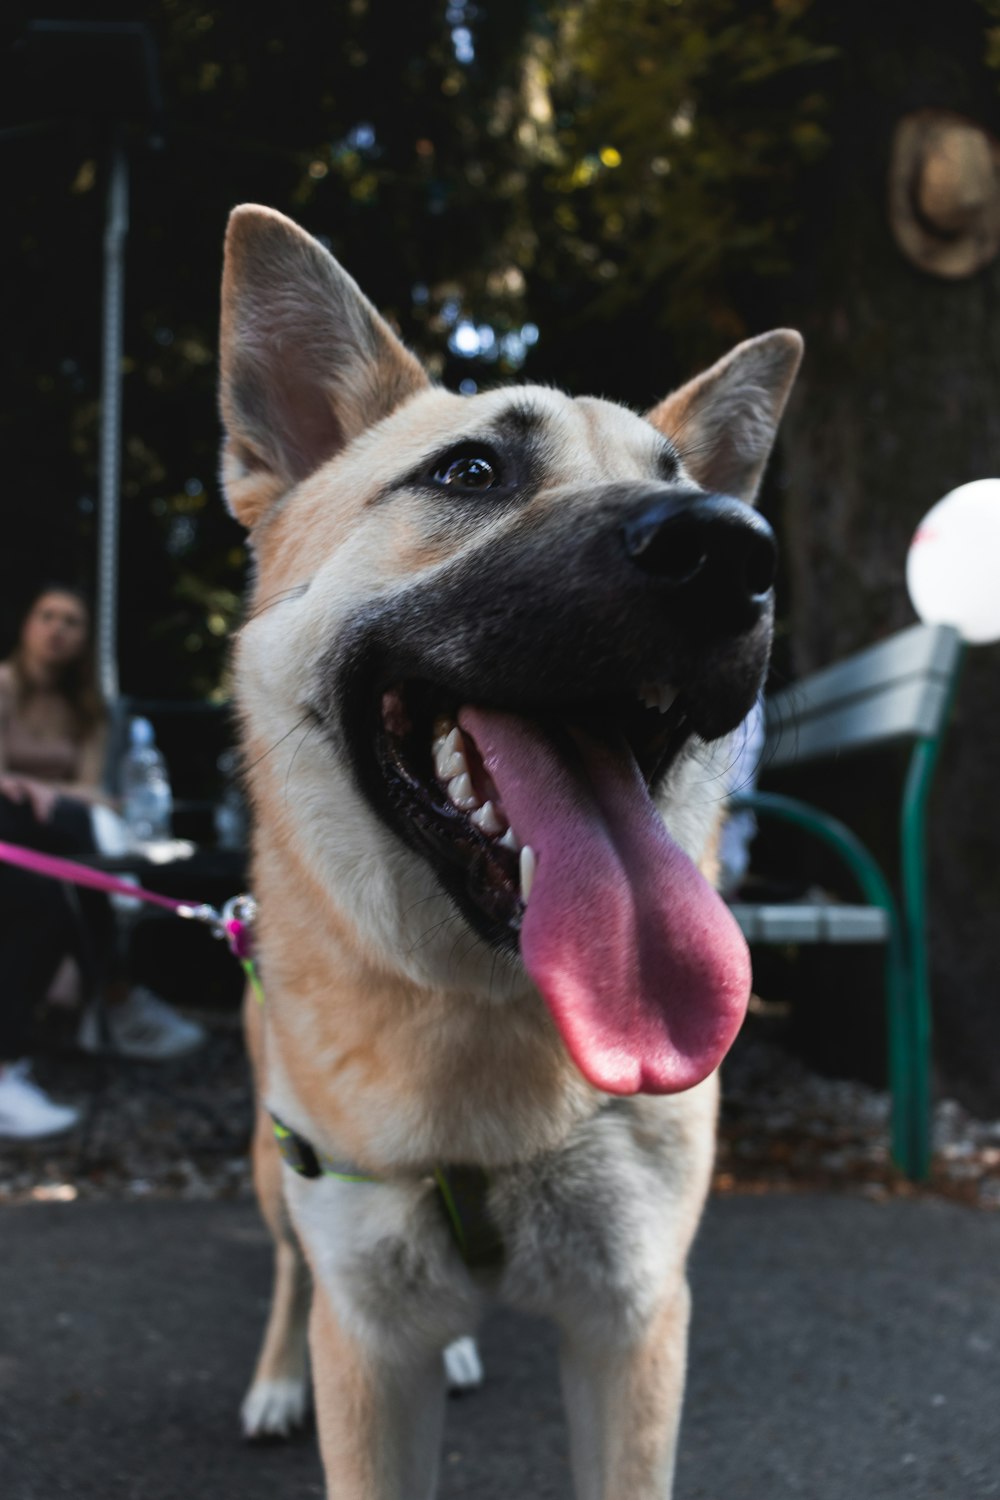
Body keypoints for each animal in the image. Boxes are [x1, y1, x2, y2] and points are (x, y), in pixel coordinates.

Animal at [218, 208, 797, 1500]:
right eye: (470, 472)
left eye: (678, 479)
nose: (732, 548)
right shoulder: (367, 1347)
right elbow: (331, 1308)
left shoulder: (633, 1322)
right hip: (275, 1177)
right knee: (282, 1266)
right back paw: (271, 1376)